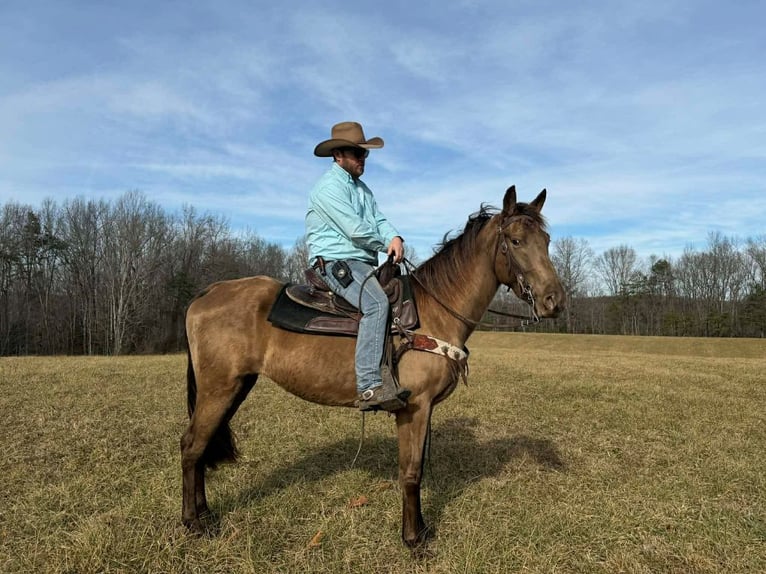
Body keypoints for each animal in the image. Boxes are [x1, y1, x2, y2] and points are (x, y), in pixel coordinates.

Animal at [181, 185, 565, 547]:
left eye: (546, 241)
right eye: (515, 241)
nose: (555, 302)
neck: (435, 309)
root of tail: (207, 293)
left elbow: (416, 470)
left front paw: (421, 531)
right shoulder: (414, 407)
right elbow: (410, 473)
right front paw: (413, 540)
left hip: (237, 387)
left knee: (200, 446)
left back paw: (205, 515)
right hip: (219, 389)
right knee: (191, 446)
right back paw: (193, 523)